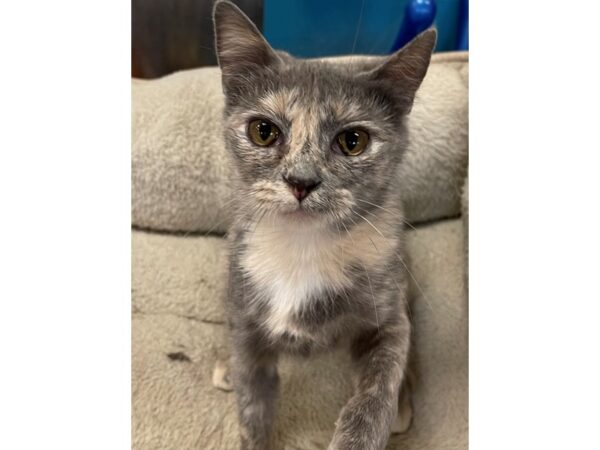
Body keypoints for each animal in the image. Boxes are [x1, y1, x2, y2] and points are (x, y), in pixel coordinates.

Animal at [212, 1, 436, 448]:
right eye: (263, 131)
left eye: (353, 141)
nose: (301, 181)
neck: (301, 246)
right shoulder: (245, 315)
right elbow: (252, 399)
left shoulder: (387, 312)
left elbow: (379, 384)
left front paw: (363, 429)